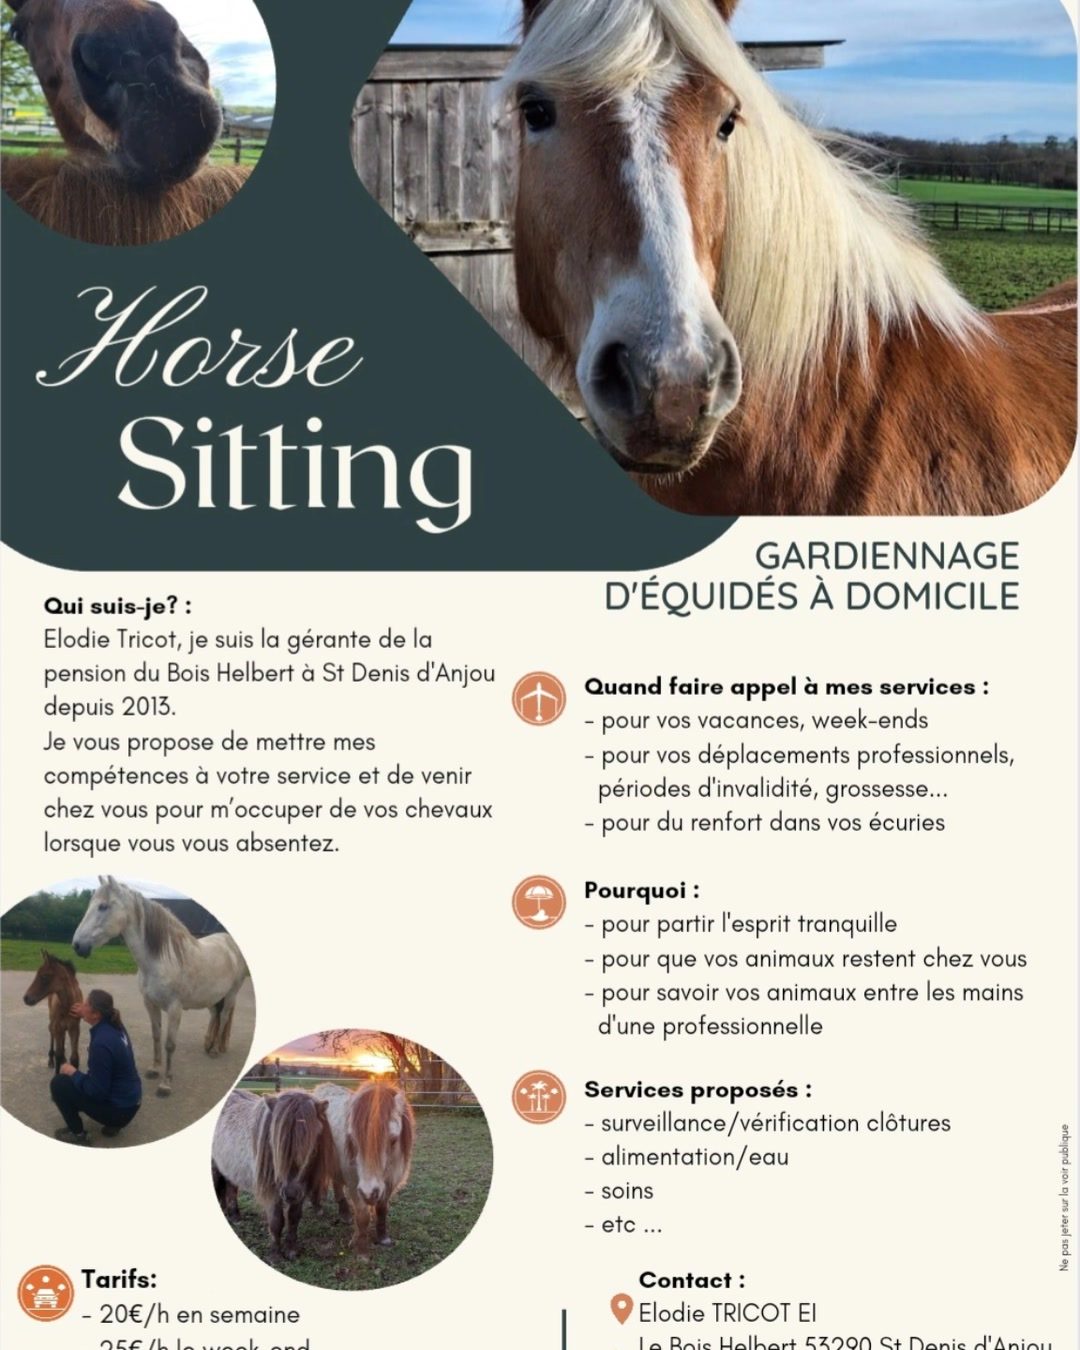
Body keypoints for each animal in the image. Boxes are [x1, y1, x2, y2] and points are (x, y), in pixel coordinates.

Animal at [72, 876, 249, 1099]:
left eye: (103, 906)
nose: (77, 945)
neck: (161, 960)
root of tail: (230, 943)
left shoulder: (175, 1008)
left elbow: (169, 1044)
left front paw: (165, 1084)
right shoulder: (150, 1004)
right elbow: (156, 1035)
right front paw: (155, 1069)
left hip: (232, 994)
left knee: (223, 1017)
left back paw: (216, 1049)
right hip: (213, 996)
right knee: (214, 1016)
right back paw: (208, 1045)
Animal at [212, 1089, 337, 1261]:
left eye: (312, 1146)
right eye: (276, 1143)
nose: (290, 1193)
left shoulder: (301, 1189)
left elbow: (294, 1217)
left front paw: (291, 1249)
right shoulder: (272, 1191)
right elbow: (276, 1221)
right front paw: (275, 1255)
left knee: (231, 1187)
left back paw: (235, 1215)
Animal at [314, 1080, 415, 1253]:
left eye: (393, 1140)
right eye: (353, 1139)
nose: (369, 1193)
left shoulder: (389, 1182)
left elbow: (382, 1209)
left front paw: (383, 1238)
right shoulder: (355, 1184)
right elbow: (363, 1215)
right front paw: (360, 1246)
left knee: (337, 1183)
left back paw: (345, 1214)